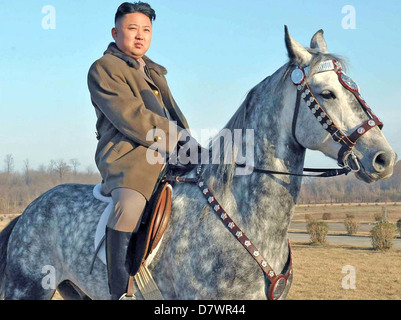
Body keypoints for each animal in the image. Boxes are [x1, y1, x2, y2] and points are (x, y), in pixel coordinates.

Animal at [0, 28, 396, 300]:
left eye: (356, 89)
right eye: (327, 93)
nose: (384, 158)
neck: (244, 215)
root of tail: (28, 211)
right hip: (29, 289)